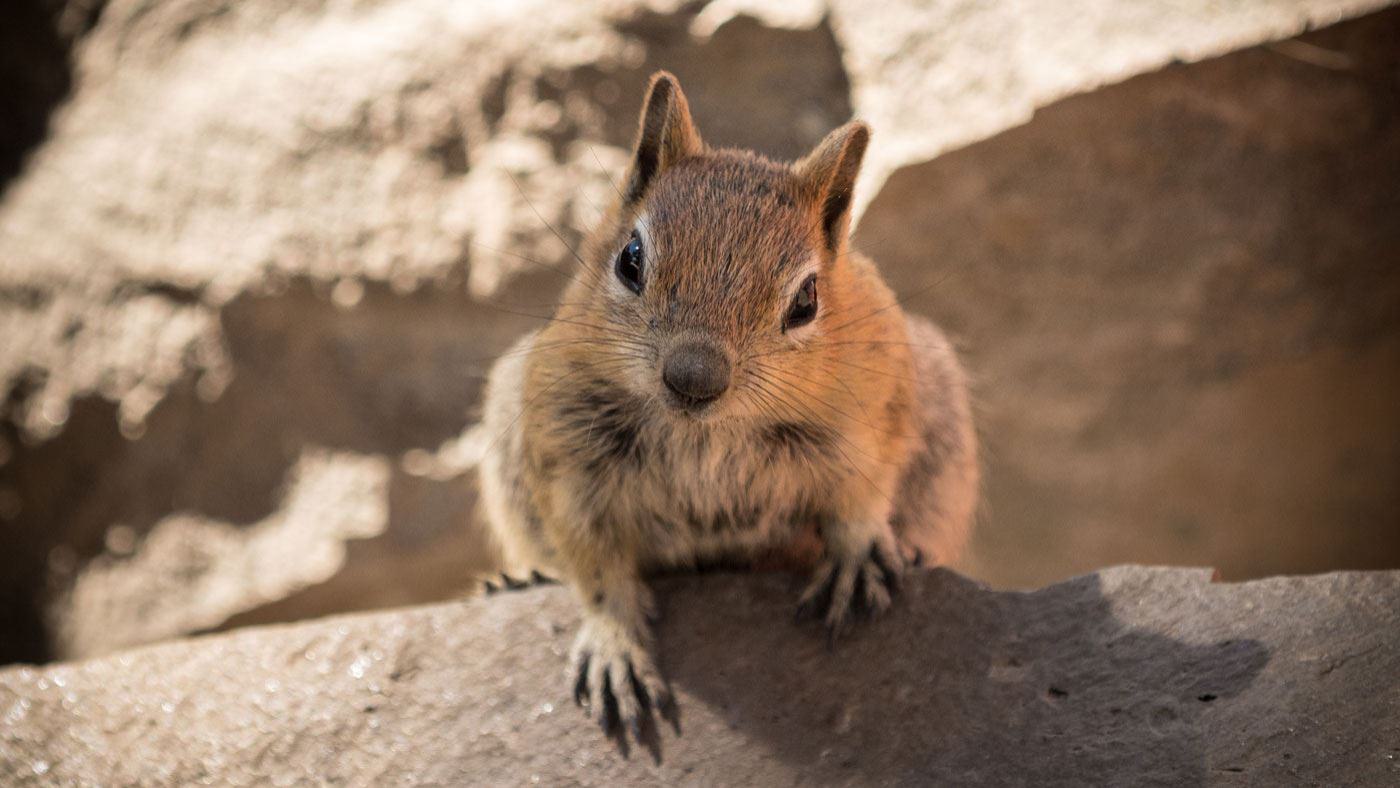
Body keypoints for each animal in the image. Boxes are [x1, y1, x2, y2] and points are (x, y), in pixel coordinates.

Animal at [478, 71, 979, 744]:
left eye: (807, 299)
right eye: (630, 259)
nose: (694, 378)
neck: (708, 432)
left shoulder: (874, 413)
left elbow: (863, 493)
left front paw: (857, 556)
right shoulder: (569, 460)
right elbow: (597, 569)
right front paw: (614, 645)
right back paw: (521, 578)